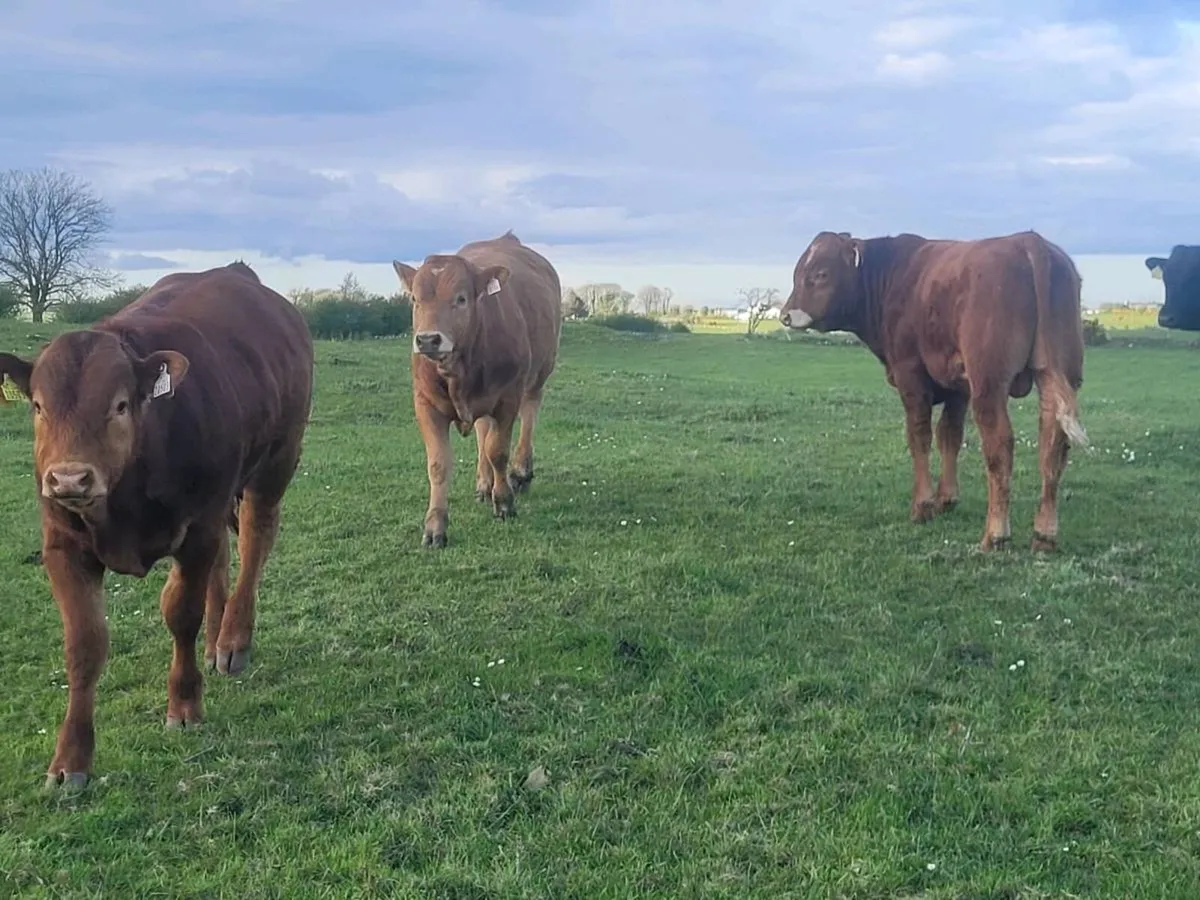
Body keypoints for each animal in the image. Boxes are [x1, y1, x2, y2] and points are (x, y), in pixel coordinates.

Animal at [0, 261, 313, 790]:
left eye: (120, 405)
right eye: (38, 406)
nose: (69, 478)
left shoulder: (197, 529)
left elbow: (180, 613)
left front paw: (184, 705)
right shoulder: (63, 547)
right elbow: (84, 644)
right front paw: (70, 760)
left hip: (276, 462)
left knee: (255, 540)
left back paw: (232, 640)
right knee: (224, 560)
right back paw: (215, 641)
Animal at [392, 230, 562, 548]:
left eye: (461, 298)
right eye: (415, 299)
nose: (428, 339)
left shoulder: (507, 398)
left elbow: (498, 451)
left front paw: (504, 502)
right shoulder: (425, 404)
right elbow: (438, 464)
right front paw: (435, 526)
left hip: (538, 375)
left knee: (529, 415)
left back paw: (520, 472)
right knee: (483, 430)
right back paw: (484, 483)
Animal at [779, 230, 1088, 552]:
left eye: (821, 274)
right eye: (798, 272)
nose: (785, 315)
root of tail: (1027, 240)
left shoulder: (910, 374)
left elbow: (919, 436)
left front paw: (923, 505)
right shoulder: (958, 387)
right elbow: (949, 435)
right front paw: (946, 499)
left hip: (989, 382)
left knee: (999, 446)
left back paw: (995, 534)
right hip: (1058, 374)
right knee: (1053, 445)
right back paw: (1044, 535)